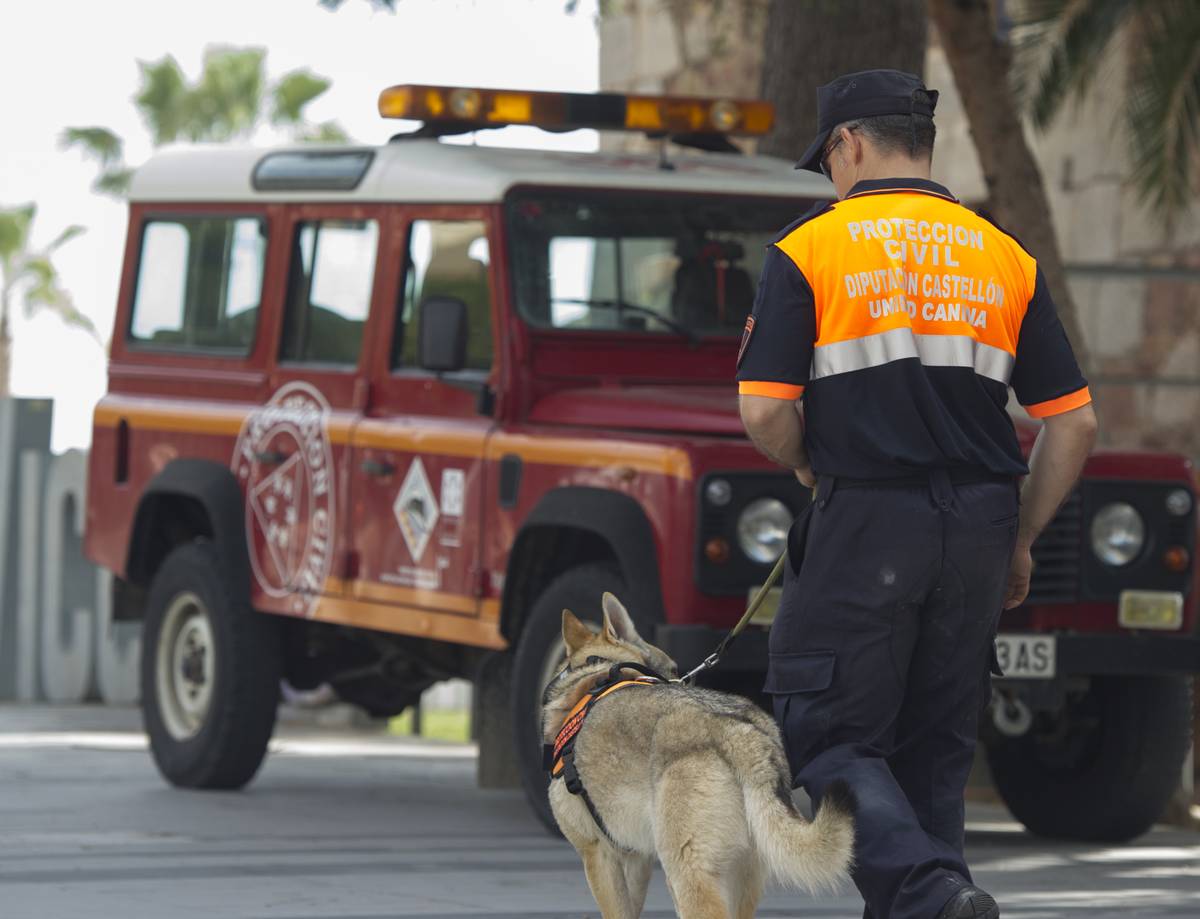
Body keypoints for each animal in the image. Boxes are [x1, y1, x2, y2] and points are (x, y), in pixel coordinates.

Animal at [544, 595, 854, 916]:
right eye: (673, 667)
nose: (679, 680)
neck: (594, 677)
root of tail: (737, 730)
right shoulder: (637, 858)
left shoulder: (596, 853)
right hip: (740, 876)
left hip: (685, 873)